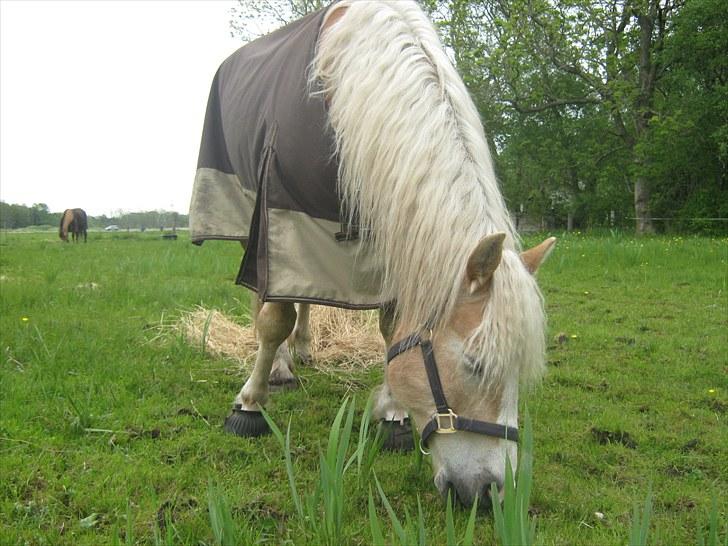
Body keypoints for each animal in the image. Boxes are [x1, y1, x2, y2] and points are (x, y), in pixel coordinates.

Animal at [191, 0, 556, 506]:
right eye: (476, 365)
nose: (491, 492)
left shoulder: (383, 234)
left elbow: (389, 327)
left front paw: (392, 414)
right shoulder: (281, 212)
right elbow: (274, 318)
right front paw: (249, 404)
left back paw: (304, 349)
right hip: (252, 219)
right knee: (266, 295)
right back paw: (279, 367)